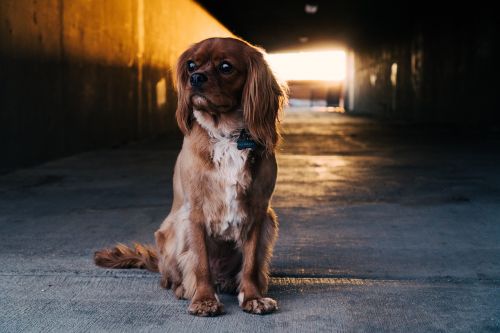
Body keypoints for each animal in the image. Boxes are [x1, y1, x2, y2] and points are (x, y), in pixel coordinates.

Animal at [94, 37, 288, 316]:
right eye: (191, 65)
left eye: (226, 67)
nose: (195, 78)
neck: (226, 135)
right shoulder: (194, 213)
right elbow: (200, 263)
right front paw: (204, 300)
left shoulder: (258, 212)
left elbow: (250, 263)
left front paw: (253, 297)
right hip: (172, 230)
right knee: (170, 277)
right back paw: (183, 288)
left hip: (270, 223)